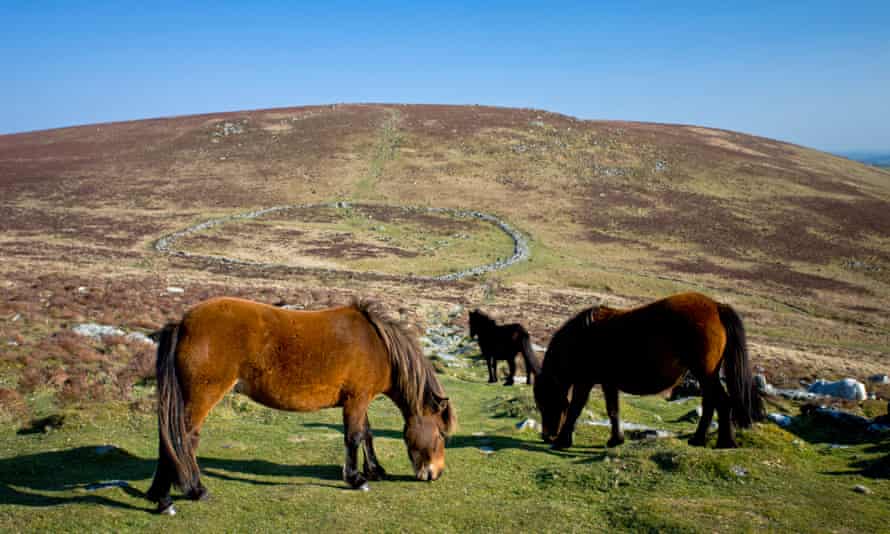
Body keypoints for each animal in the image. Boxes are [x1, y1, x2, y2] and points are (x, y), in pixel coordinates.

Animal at [146, 298, 454, 516]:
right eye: (441, 434)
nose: (436, 474)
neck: (378, 345)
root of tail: (182, 322)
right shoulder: (357, 399)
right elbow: (354, 437)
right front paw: (356, 479)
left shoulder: (361, 399)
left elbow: (367, 434)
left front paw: (375, 471)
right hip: (202, 396)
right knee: (181, 439)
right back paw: (174, 497)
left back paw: (176, 492)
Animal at [536, 294, 764, 452]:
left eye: (546, 402)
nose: (546, 436)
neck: (582, 338)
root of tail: (717, 306)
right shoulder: (609, 383)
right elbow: (613, 410)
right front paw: (615, 440)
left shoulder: (585, 382)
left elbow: (575, 408)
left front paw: (562, 441)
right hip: (706, 375)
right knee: (710, 403)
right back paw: (699, 439)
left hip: (705, 373)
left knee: (721, 402)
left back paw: (725, 442)